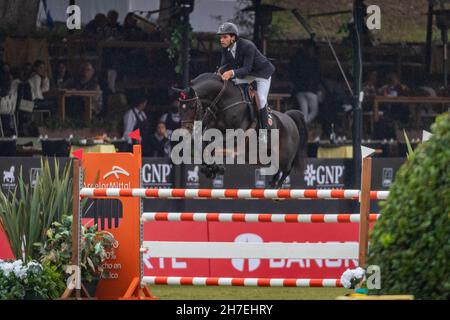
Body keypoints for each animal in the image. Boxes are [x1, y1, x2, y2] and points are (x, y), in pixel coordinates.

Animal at [174, 72, 308, 188]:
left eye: (192, 106)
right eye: (180, 107)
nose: (185, 130)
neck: (224, 103)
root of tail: (290, 119)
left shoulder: (235, 136)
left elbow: (212, 144)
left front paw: (215, 168)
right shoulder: (211, 130)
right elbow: (203, 145)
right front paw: (210, 169)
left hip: (284, 156)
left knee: (286, 169)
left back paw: (276, 188)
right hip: (262, 158)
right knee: (276, 168)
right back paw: (272, 185)